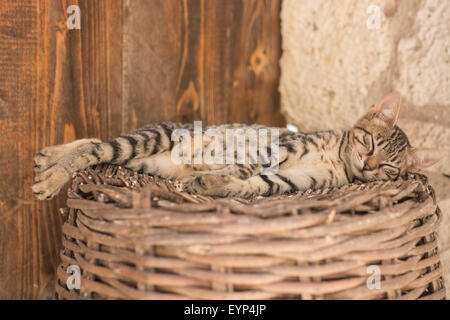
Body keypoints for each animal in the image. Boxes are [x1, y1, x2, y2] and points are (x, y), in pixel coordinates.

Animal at [31, 91, 440, 199]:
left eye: (389, 167)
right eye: (368, 141)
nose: (368, 165)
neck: (338, 158)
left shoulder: (294, 181)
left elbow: (251, 182)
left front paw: (209, 183)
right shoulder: (279, 146)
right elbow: (247, 164)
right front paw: (210, 179)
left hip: (143, 161)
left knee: (99, 145)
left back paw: (48, 156)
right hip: (153, 138)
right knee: (98, 147)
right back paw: (52, 173)